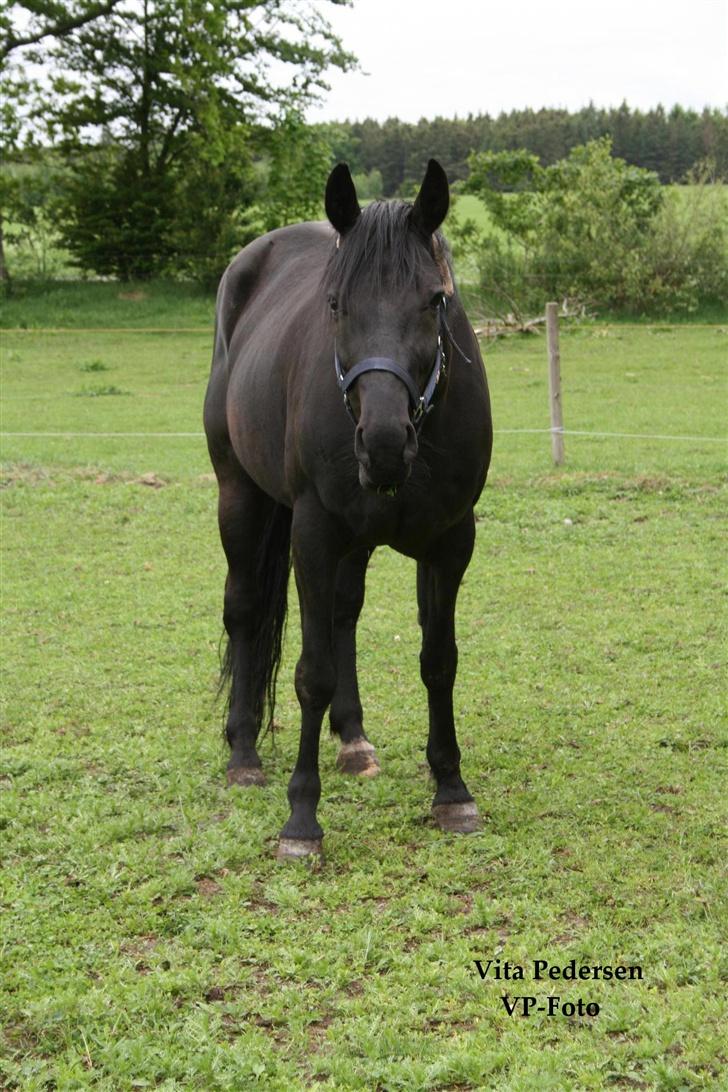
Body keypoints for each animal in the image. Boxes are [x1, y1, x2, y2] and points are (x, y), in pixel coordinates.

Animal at [201, 159, 493, 860]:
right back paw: (243, 754)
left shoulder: (451, 541)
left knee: (343, 615)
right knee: (244, 609)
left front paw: (452, 791)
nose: (383, 443)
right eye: (334, 304)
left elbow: (438, 661)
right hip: (239, 494)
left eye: (435, 301)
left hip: (355, 542)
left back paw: (354, 740)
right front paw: (301, 820)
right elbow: (312, 673)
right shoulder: (313, 534)